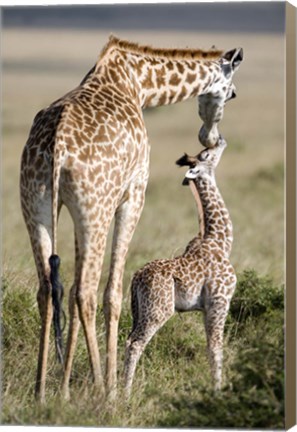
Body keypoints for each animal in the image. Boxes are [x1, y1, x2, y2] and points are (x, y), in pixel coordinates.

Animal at [122, 138, 236, 398]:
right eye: (206, 154)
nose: (221, 140)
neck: (221, 241)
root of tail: (136, 278)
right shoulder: (220, 301)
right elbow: (216, 348)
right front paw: (218, 392)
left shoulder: (206, 307)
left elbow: (209, 346)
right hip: (158, 310)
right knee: (135, 344)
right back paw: (123, 394)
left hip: (137, 310)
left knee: (127, 339)